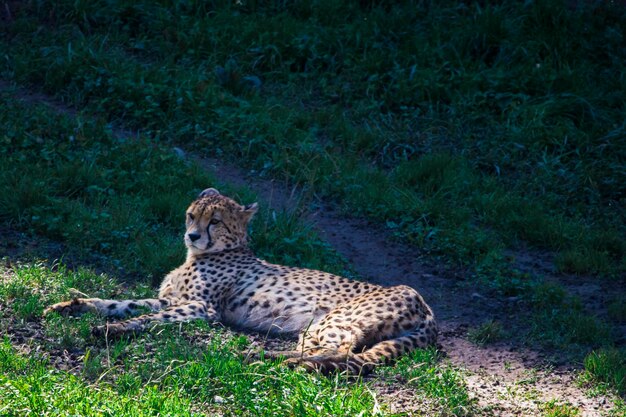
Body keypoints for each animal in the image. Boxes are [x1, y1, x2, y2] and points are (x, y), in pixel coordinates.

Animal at [44, 188, 436, 374]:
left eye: (215, 221)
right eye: (191, 215)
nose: (192, 235)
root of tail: (424, 304)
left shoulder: (202, 307)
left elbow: (148, 317)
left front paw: (115, 330)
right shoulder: (172, 298)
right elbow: (120, 302)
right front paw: (73, 305)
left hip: (333, 319)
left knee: (340, 352)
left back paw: (265, 358)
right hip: (320, 326)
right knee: (327, 352)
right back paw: (267, 356)